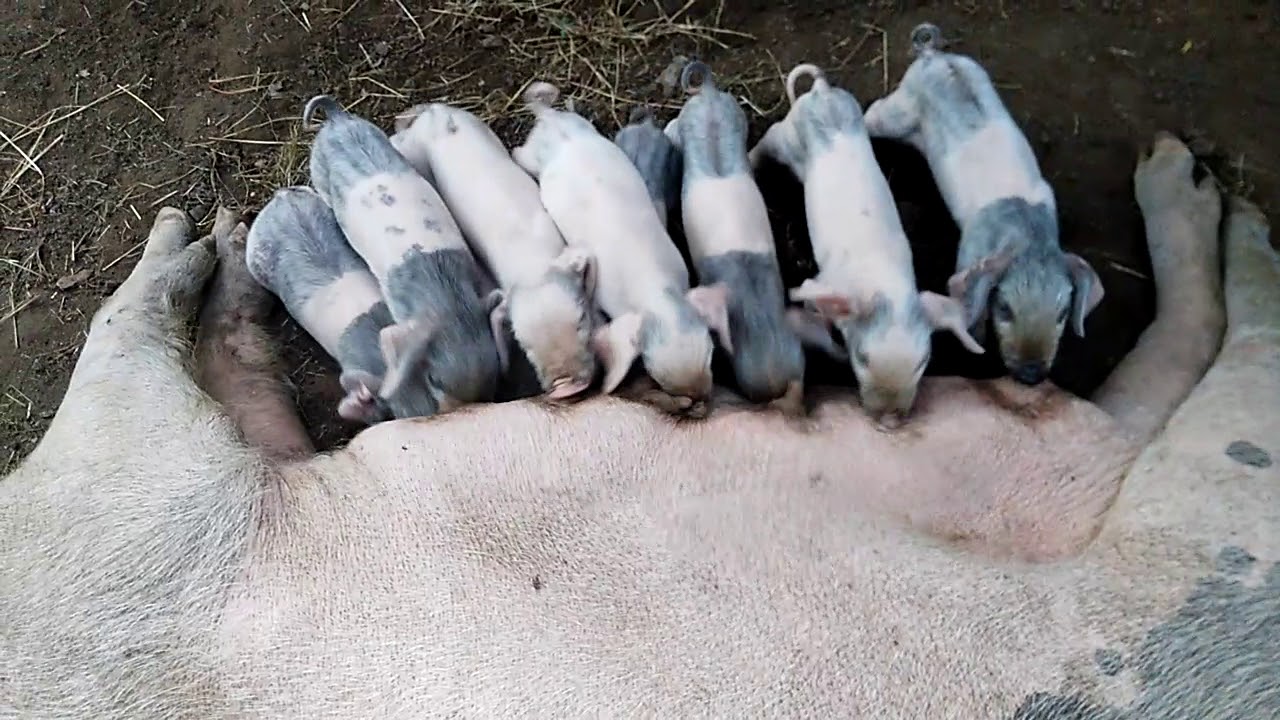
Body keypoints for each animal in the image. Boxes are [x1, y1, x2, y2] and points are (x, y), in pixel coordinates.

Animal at [510, 80, 732, 408]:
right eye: (654, 373)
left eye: (710, 353)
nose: (702, 403)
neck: (656, 292)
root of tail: (551, 119)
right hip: (532, 156)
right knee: (518, 152)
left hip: (584, 128)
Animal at [747, 62, 983, 427]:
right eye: (863, 358)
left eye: (922, 362)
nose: (889, 421)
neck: (885, 285)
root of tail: (822, 92)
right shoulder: (825, 284)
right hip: (786, 134)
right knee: (767, 141)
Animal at [862, 23, 1104, 385]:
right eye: (1004, 308)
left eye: (1062, 313)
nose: (1031, 376)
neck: (1028, 237)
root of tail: (934, 56)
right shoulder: (967, 254)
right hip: (897, 110)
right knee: (873, 112)